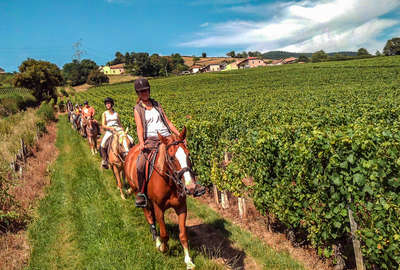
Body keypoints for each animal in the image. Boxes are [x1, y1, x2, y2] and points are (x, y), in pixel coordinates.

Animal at [125, 127, 198, 270]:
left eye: (188, 154)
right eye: (171, 157)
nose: (190, 186)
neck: (169, 182)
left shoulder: (181, 207)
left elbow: (183, 235)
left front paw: (188, 261)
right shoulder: (158, 207)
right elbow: (164, 233)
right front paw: (163, 248)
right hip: (141, 197)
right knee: (149, 217)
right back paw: (157, 241)